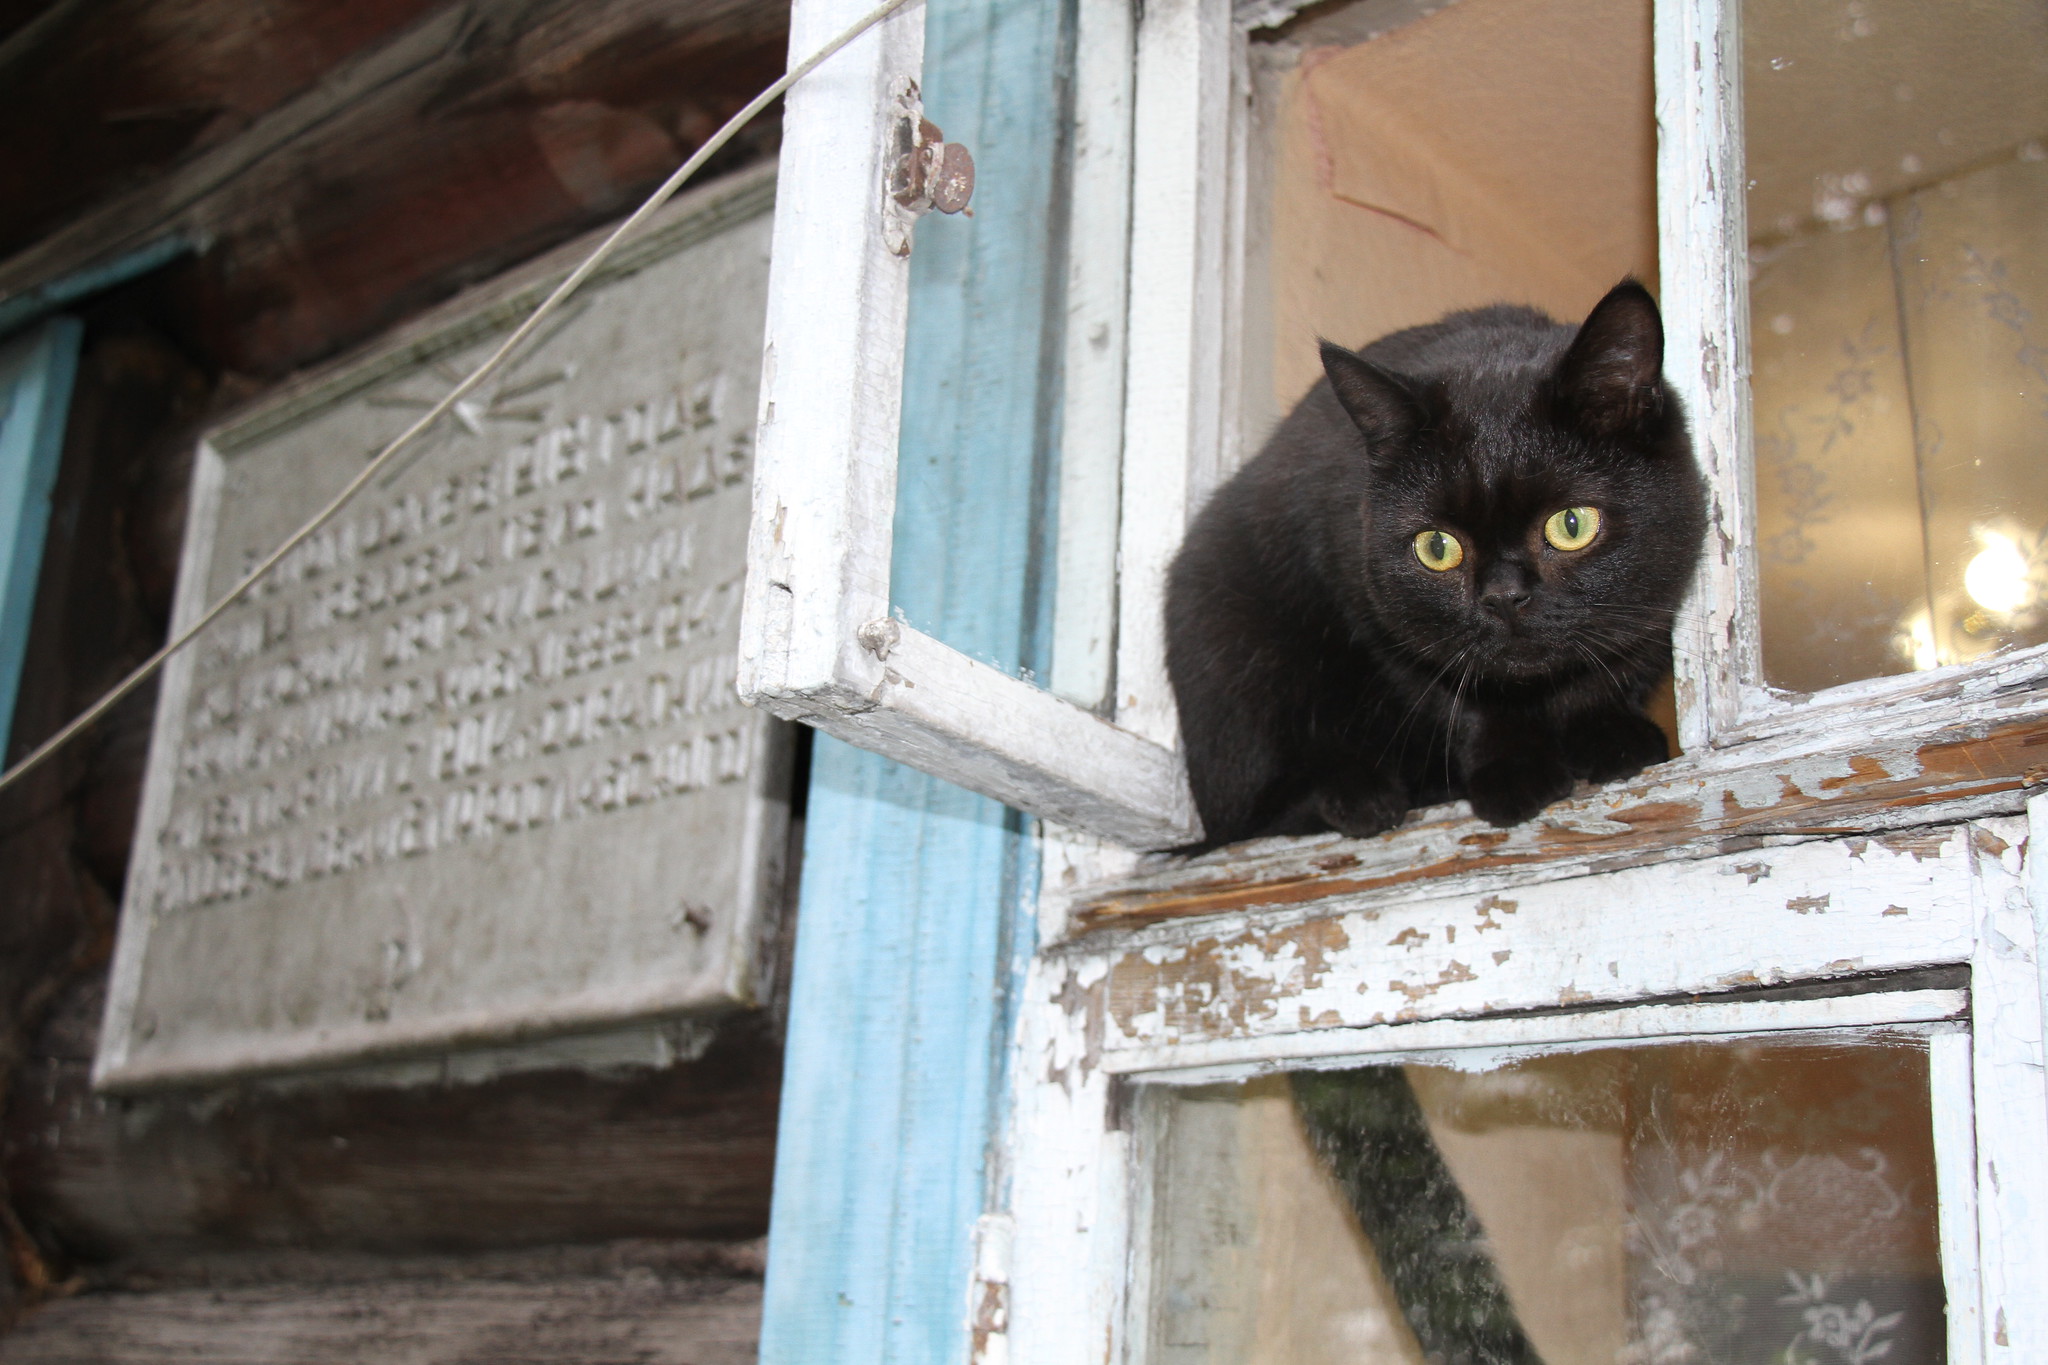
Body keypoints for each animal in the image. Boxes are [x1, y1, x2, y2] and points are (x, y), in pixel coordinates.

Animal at [1171, 282, 1712, 847]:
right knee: (1252, 816)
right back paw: (1362, 795)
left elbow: (1609, 668)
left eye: (1572, 525)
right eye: (1436, 547)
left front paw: (1610, 736)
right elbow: (1462, 699)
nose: (1503, 596)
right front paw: (1514, 771)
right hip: (1228, 633)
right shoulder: (1375, 613)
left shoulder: (1652, 603)